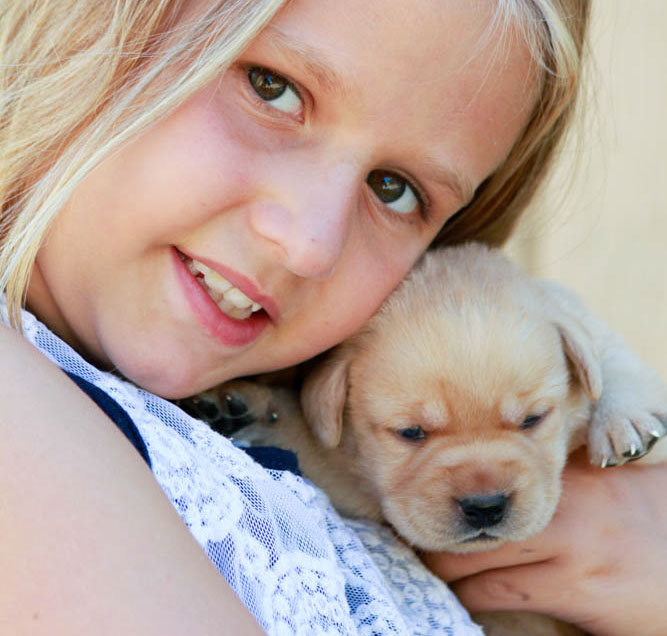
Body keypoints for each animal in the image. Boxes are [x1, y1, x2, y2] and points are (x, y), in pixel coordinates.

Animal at [181, 243, 667, 635]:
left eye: (533, 419)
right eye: (411, 433)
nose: (485, 506)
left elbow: (610, 361)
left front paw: (623, 416)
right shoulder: (355, 477)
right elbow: (312, 440)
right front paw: (245, 406)